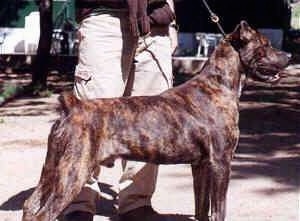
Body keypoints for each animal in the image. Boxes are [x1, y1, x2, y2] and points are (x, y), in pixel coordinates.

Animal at [22, 21, 290, 221]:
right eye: (265, 45)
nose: (288, 55)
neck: (219, 83)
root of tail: (72, 106)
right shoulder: (221, 162)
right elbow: (218, 210)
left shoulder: (201, 165)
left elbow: (202, 207)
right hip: (73, 172)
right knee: (44, 213)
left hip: (53, 169)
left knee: (30, 206)